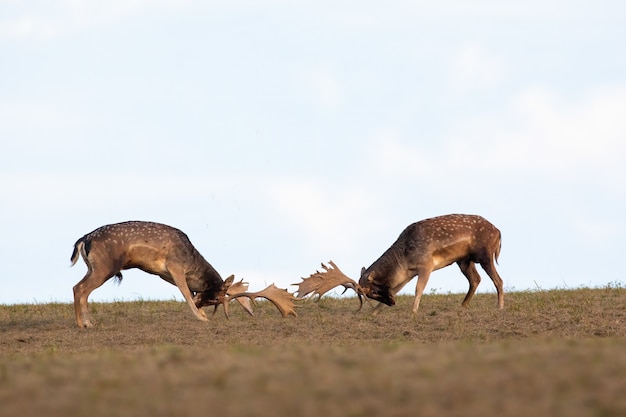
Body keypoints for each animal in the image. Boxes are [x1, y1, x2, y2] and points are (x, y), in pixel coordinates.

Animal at [71, 219, 298, 326]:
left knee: (76, 287)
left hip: (93, 267)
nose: (202, 309)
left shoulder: (165, 274)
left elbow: (188, 291)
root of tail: (83, 240)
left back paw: (82, 323)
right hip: (105, 267)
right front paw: (201, 318)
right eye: (215, 298)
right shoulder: (174, 266)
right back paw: (87, 323)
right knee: (81, 289)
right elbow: (187, 294)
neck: (191, 262)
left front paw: (202, 315)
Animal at [294, 214, 504, 316]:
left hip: (485, 255)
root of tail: (499, 232)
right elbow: (396, 289)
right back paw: (462, 307)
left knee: (498, 280)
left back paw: (499, 307)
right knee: (475, 280)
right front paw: (374, 313)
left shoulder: (426, 264)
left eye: (373, 291)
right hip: (464, 260)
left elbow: (419, 289)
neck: (404, 259)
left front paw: (413, 311)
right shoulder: (408, 274)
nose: (392, 303)